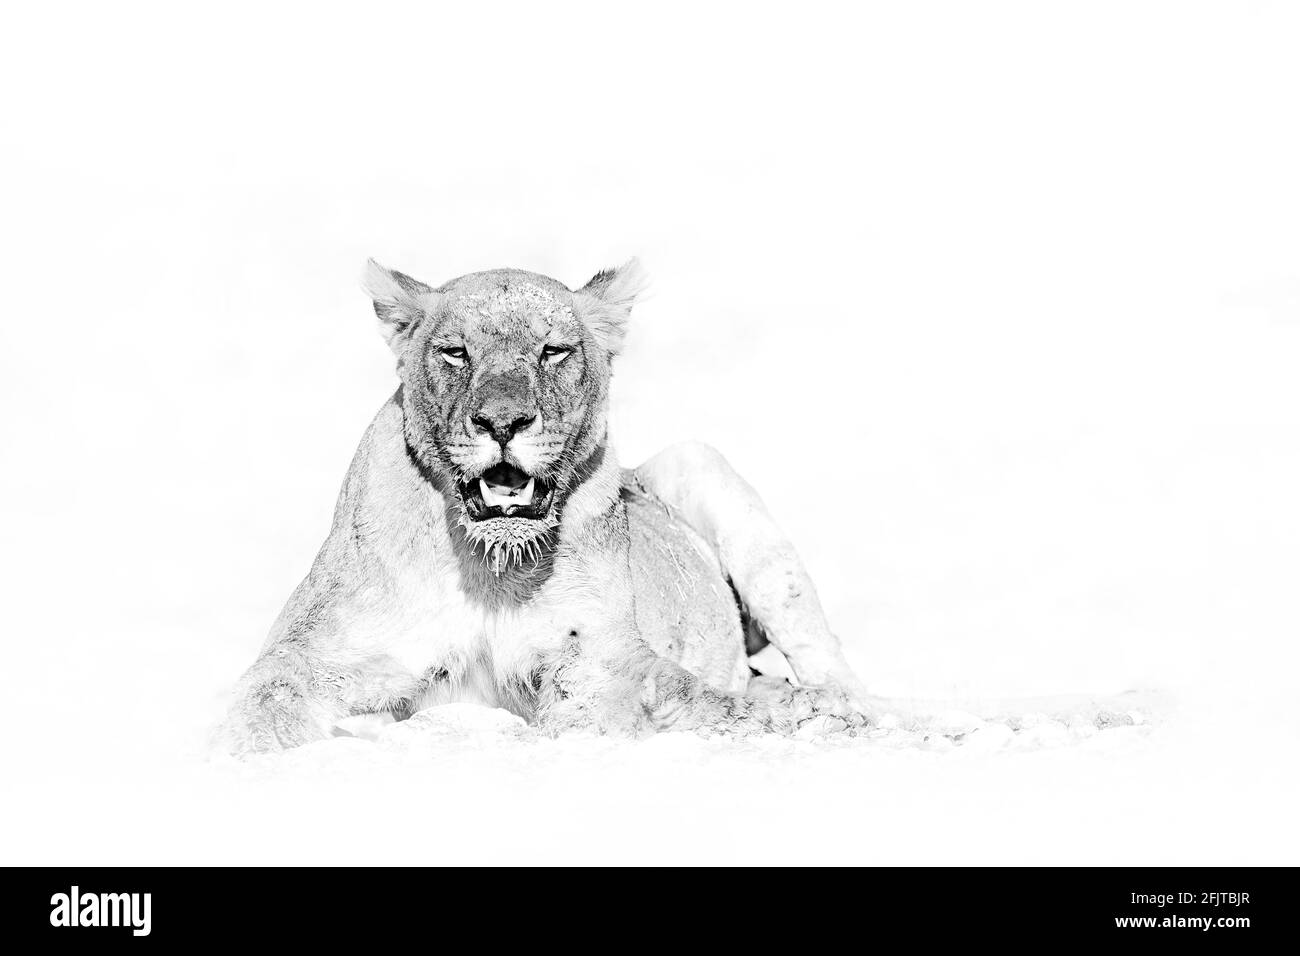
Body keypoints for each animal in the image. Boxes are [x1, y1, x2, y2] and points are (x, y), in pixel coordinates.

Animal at [219, 259, 870, 753]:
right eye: (455, 352)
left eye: (553, 351)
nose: (502, 422)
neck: (490, 570)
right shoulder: (320, 649)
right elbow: (260, 703)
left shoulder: (601, 661)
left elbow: (603, 712)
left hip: (701, 465)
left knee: (827, 668)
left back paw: (833, 707)